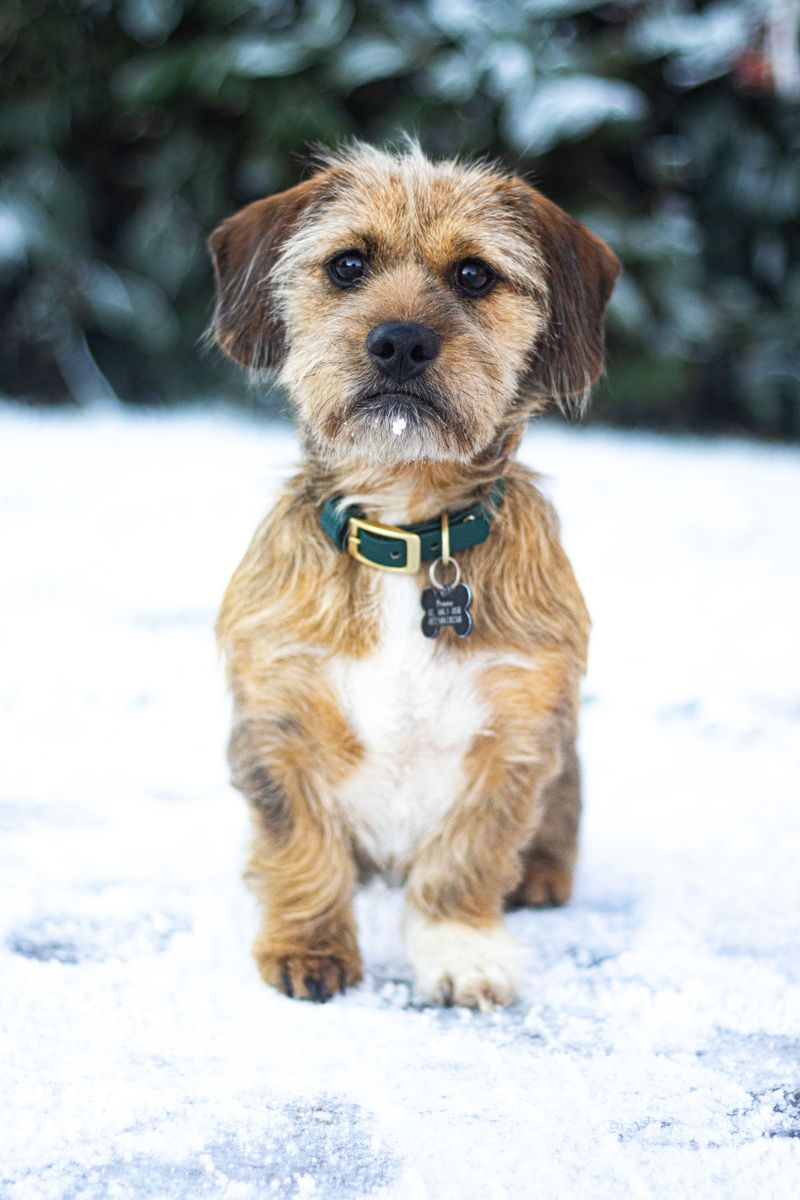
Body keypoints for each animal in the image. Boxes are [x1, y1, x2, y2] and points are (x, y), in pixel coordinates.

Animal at [206, 138, 618, 1003]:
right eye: (347, 264)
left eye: (474, 275)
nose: (399, 342)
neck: (408, 533)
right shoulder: (277, 718)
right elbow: (299, 841)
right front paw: (308, 945)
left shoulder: (517, 736)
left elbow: (468, 857)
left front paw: (461, 950)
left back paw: (542, 875)